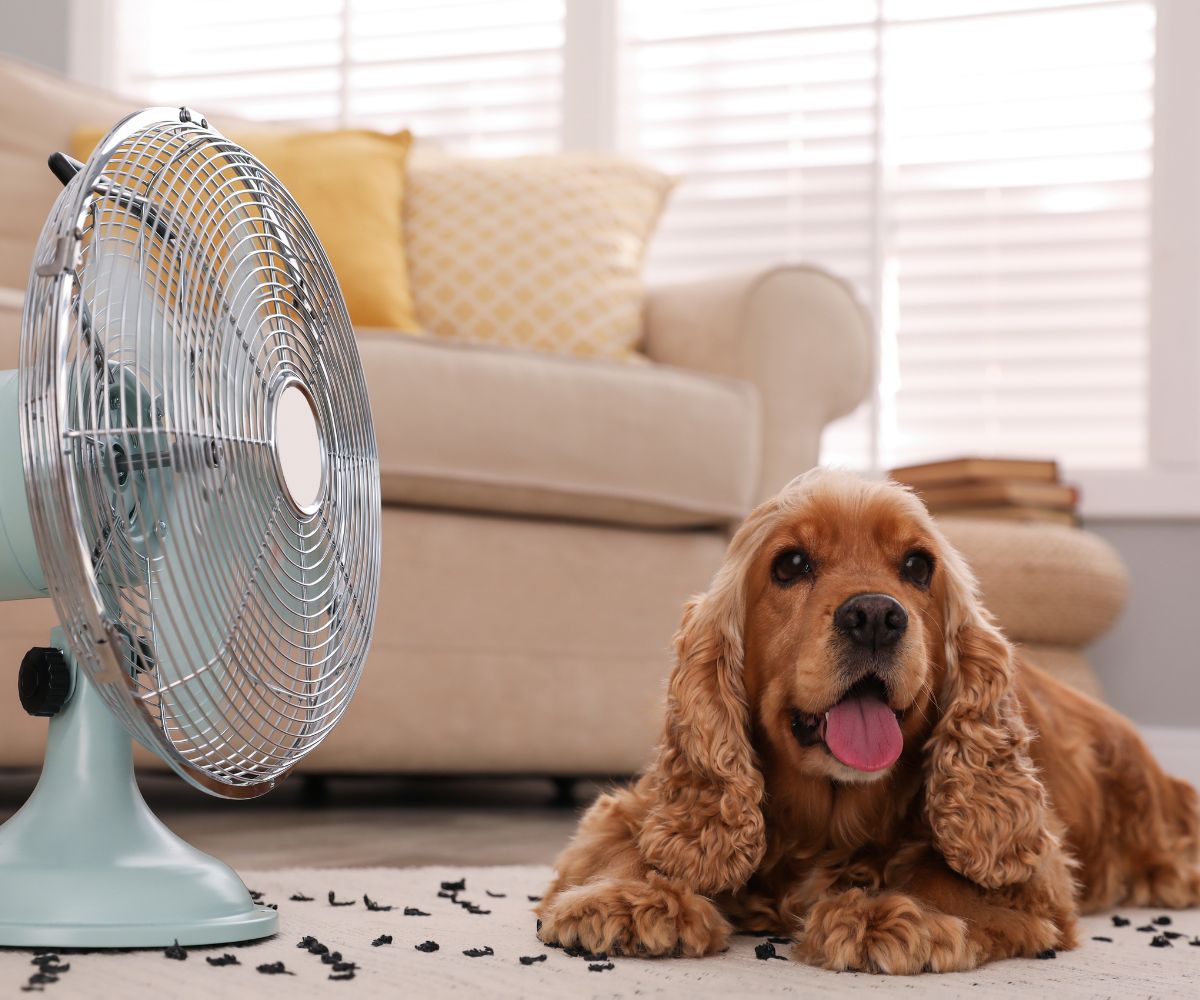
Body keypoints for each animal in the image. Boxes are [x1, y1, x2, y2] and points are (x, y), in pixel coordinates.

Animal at [537, 472, 1200, 969]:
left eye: (917, 565)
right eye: (790, 563)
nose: (876, 615)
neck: (828, 822)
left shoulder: (1039, 868)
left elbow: (950, 875)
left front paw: (894, 912)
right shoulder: (635, 808)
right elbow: (625, 844)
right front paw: (628, 898)